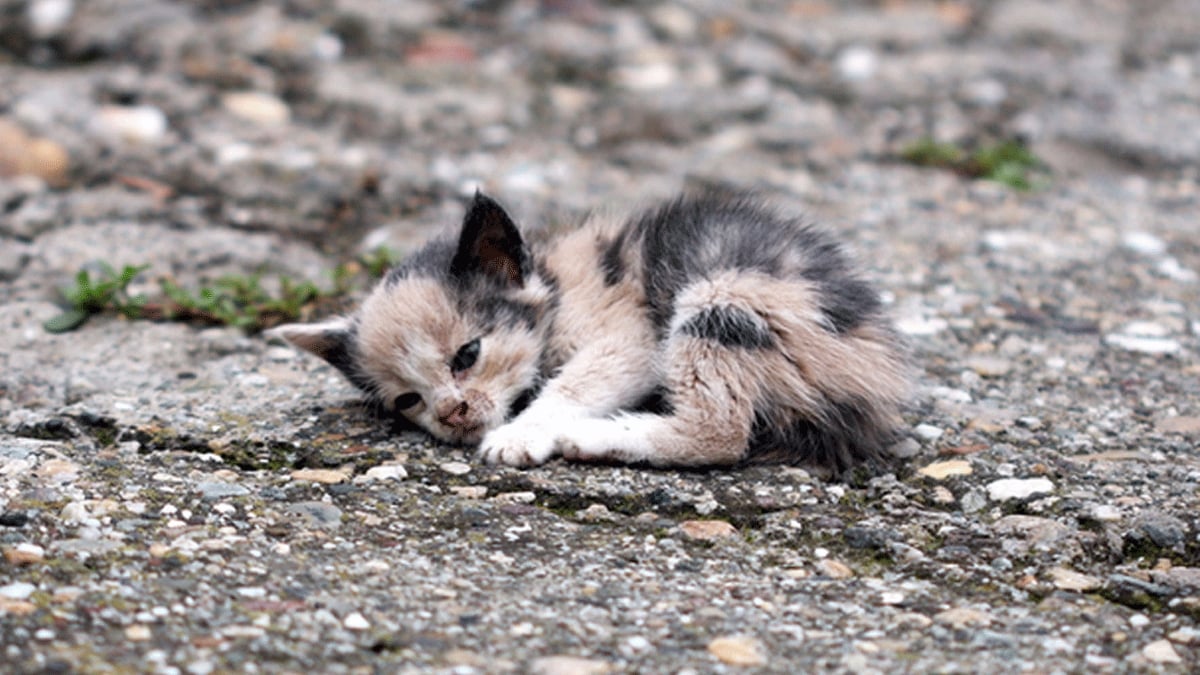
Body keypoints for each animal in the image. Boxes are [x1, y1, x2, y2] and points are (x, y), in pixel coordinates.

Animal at [270, 187, 907, 473]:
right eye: (408, 401)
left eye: (467, 354)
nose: (452, 414)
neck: (554, 286)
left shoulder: (629, 336)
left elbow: (571, 386)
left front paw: (523, 433)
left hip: (723, 296)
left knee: (720, 434)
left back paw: (595, 435)